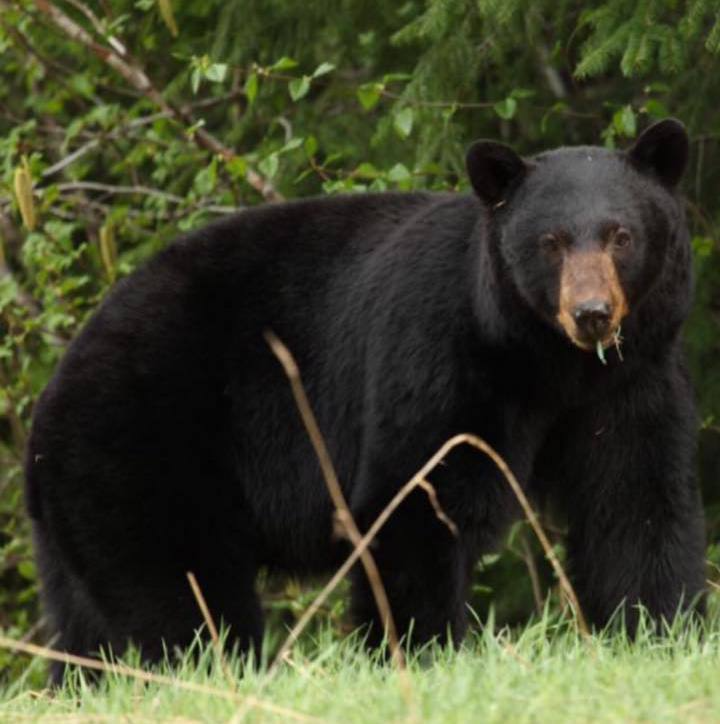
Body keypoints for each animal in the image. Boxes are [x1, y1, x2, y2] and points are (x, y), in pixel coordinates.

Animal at [25, 118, 706, 682]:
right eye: (552, 241)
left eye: (621, 236)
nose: (591, 313)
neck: (545, 362)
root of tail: (54, 389)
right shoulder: (437, 354)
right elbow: (414, 499)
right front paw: (420, 652)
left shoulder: (630, 383)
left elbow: (636, 501)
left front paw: (659, 631)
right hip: (141, 450)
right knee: (182, 593)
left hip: (78, 509)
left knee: (85, 623)